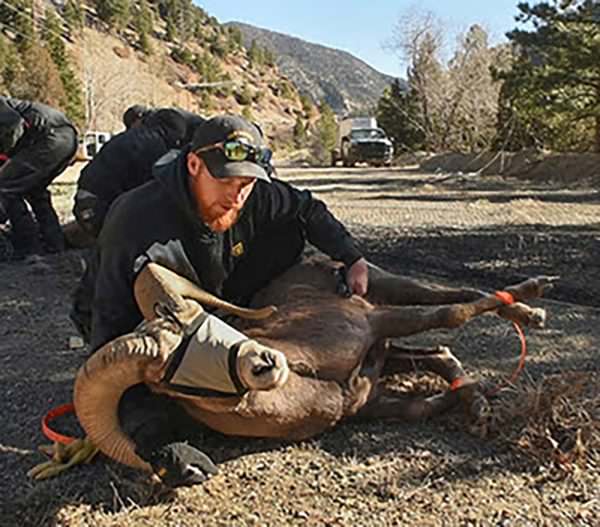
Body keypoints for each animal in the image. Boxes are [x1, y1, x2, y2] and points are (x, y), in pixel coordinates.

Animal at [75, 258, 552, 472]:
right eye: (172, 367)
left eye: (207, 320)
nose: (265, 363)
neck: (307, 379)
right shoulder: (371, 402)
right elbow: (430, 401)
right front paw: (479, 408)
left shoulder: (373, 321)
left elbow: (452, 314)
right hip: (392, 354)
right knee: (440, 355)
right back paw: (480, 400)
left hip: (393, 290)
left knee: (458, 296)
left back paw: (533, 303)